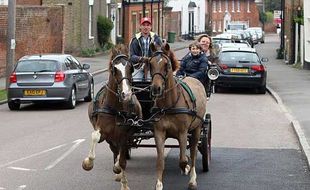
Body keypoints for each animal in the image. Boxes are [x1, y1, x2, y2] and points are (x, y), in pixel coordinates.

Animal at [81, 44, 142, 190]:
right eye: (114, 69)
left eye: (131, 67)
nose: (126, 94)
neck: (115, 108)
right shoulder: (103, 131)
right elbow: (95, 136)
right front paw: (88, 163)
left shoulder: (126, 135)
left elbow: (122, 160)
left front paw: (123, 182)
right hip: (111, 139)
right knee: (115, 151)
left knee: (120, 154)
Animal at [148, 43, 208, 190]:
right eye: (150, 64)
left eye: (167, 65)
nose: (156, 88)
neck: (169, 104)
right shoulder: (159, 132)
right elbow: (160, 161)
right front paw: (159, 184)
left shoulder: (183, 132)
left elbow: (183, 159)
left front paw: (186, 168)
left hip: (197, 128)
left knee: (193, 152)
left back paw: (192, 179)